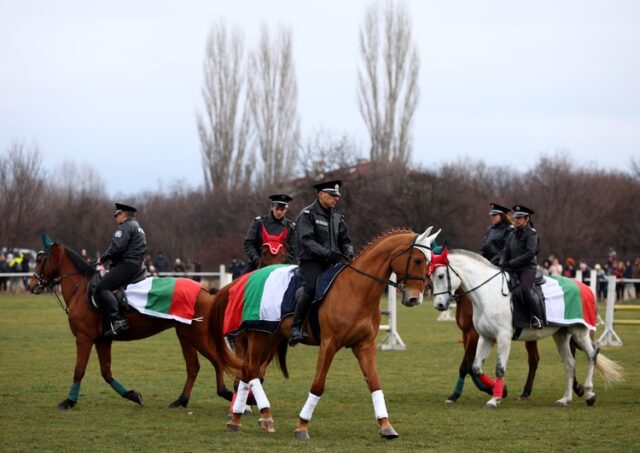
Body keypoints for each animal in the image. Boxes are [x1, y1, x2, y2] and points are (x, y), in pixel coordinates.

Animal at [27, 240, 240, 410]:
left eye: (40, 260)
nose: (31, 285)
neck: (81, 291)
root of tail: (204, 289)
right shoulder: (102, 341)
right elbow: (106, 373)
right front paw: (132, 395)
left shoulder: (84, 339)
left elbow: (79, 370)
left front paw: (69, 401)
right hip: (185, 336)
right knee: (194, 367)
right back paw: (182, 400)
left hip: (197, 336)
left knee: (217, 361)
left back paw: (225, 392)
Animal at [218, 226, 442, 438]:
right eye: (417, 260)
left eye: (429, 261)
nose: (415, 298)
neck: (356, 290)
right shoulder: (329, 344)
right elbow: (318, 385)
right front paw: (302, 427)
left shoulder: (364, 345)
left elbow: (374, 383)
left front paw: (386, 426)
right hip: (258, 335)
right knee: (251, 370)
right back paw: (260, 416)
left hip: (272, 338)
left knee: (249, 371)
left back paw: (238, 420)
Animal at [428, 249, 624, 408]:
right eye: (430, 277)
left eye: (441, 276)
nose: (439, 305)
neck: (488, 293)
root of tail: (585, 287)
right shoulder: (486, 337)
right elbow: (476, 367)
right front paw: (498, 391)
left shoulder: (503, 337)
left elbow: (499, 368)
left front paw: (495, 399)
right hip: (562, 335)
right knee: (570, 363)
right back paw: (565, 399)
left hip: (579, 332)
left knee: (592, 355)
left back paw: (589, 394)